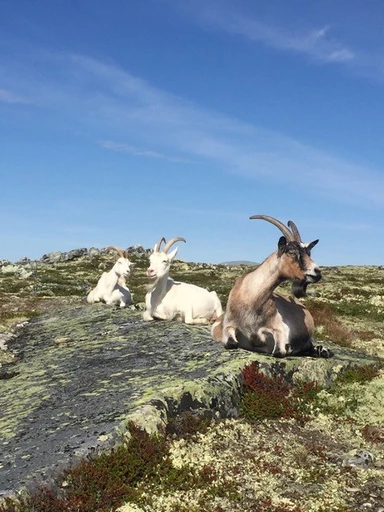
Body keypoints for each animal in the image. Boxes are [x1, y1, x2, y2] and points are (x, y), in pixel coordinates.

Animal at [210, 214, 332, 358]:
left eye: (309, 253)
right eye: (291, 252)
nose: (317, 272)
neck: (251, 297)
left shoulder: (279, 329)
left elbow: (279, 351)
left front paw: (288, 348)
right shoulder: (228, 325)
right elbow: (231, 343)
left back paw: (322, 350)